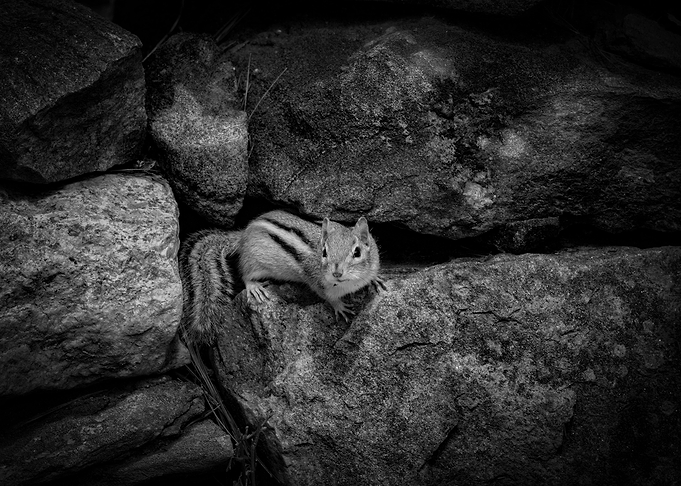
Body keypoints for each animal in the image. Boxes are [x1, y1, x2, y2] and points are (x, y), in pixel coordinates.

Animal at [179, 210, 386, 345]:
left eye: (357, 252)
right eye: (324, 252)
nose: (336, 273)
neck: (351, 282)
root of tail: (244, 233)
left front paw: (376, 279)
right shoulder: (318, 283)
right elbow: (329, 297)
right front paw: (340, 307)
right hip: (254, 262)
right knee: (245, 273)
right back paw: (254, 287)